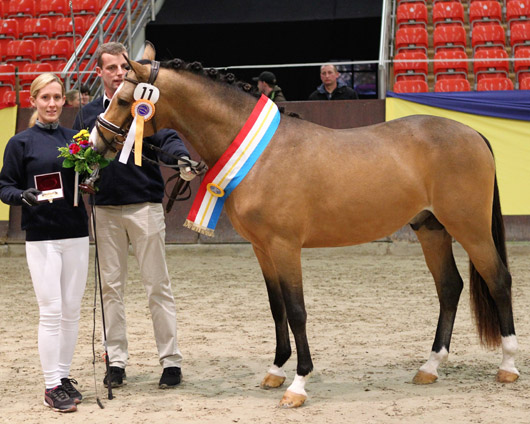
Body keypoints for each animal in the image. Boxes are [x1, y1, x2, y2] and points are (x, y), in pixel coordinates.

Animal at [89, 43, 516, 408]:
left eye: (126, 100)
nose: (95, 143)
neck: (262, 154)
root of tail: (473, 132)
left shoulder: (284, 246)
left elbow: (296, 311)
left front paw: (298, 384)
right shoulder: (262, 249)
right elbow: (277, 307)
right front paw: (276, 371)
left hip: (470, 228)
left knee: (497, 280)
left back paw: (508, 365)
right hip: (431, 229)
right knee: (450, 287)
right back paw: (430, 367)